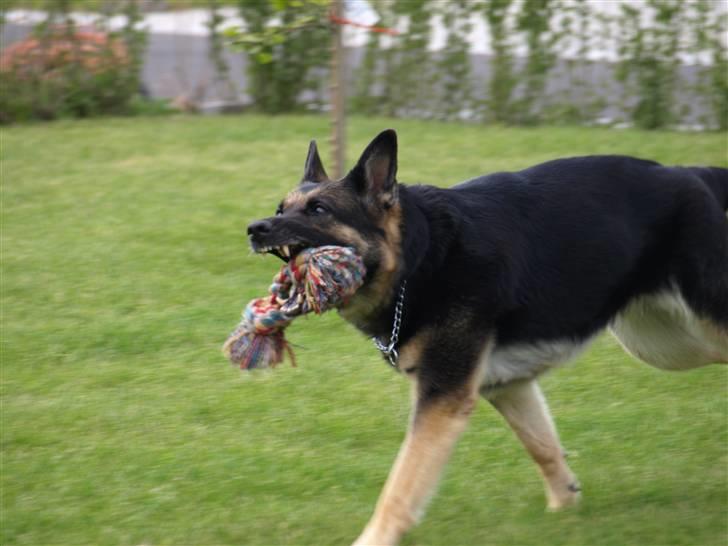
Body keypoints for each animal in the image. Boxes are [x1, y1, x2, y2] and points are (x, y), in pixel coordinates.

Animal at [246, 130, 728, 540]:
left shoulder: (443, 397)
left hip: (693, 331)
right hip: (663, 342)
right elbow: (543, 446)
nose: (254, 228)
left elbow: (401, 485)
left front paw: (374, 539)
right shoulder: (507, 384)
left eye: (319, 211)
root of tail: (686, 172)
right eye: (281, 208)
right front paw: (565, 508)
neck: (420, 258)